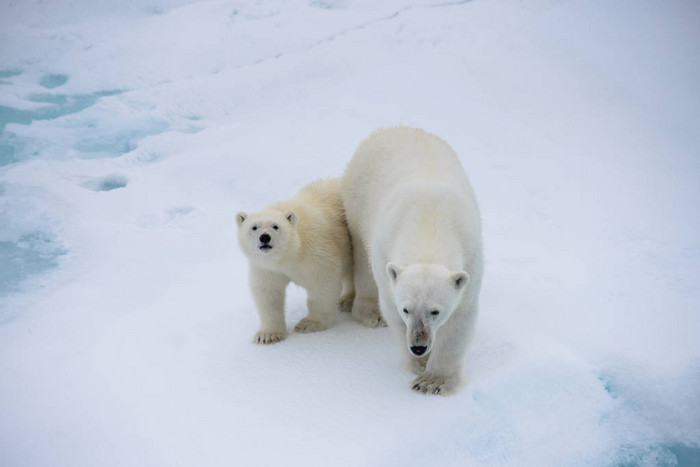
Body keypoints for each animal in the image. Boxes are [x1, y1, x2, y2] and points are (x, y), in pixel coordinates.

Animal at [237, 178, 356, 344]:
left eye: (275, 226)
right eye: (254, 227)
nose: (265, 237)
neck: (291, 253)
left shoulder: (317, 250)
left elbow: (322, 285)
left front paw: (309, 324)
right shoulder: (267, 267)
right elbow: (268, 293)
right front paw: (268, 335)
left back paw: (348, 300)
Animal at [342, 127, 484, 394]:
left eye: (435, 311)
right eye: (406, 309)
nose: (418, 346)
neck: (429, 226)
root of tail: (393, 129)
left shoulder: (471, 257)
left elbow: (459, 319)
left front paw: (434, 381)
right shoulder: (385, 254)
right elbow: (391, 308)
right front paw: (419, 365)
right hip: (357, 201)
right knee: (362, 262)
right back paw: (369, 312)